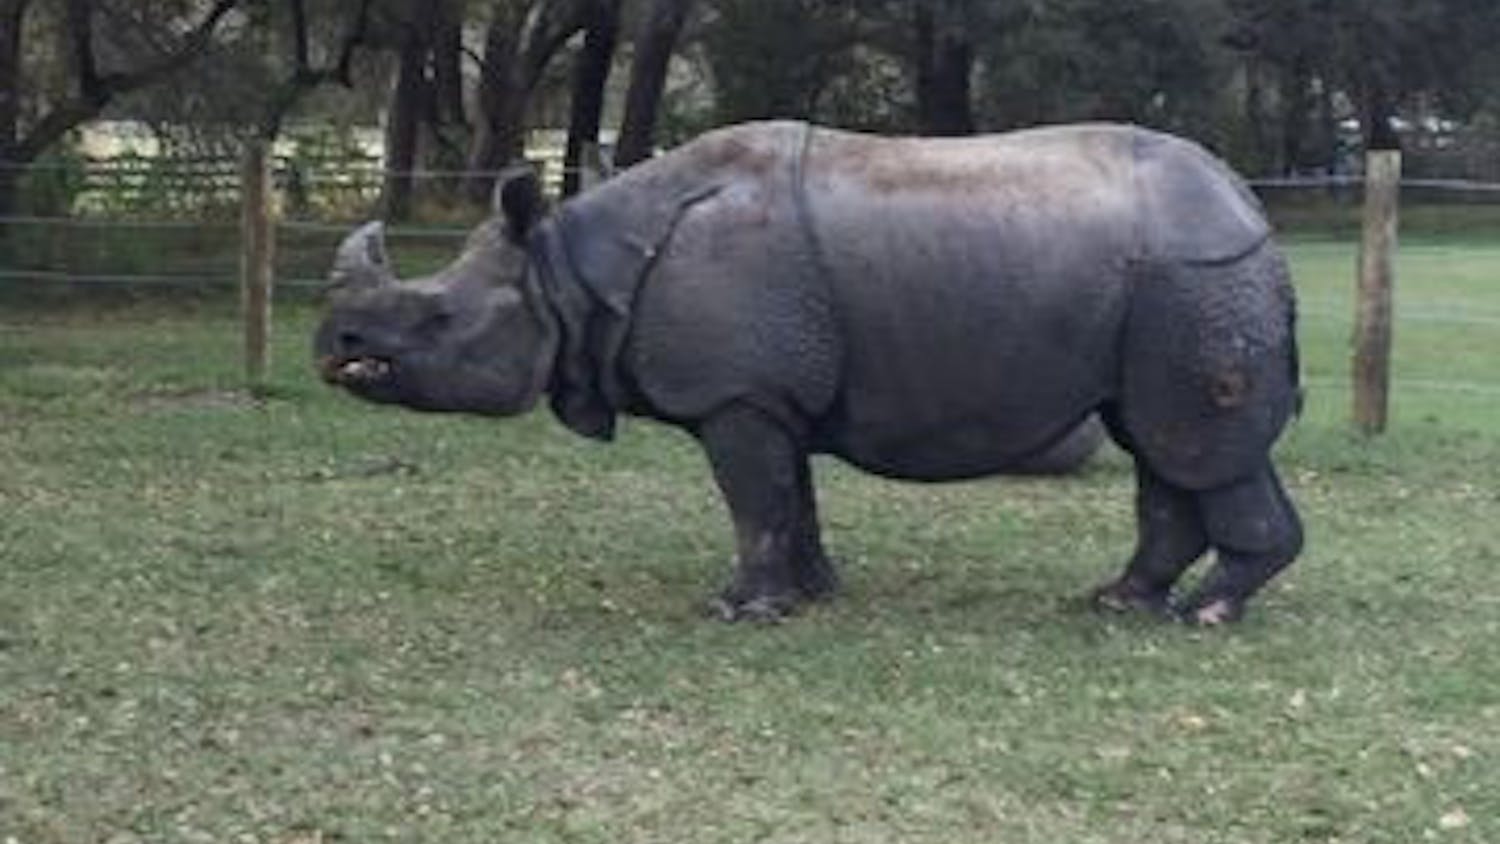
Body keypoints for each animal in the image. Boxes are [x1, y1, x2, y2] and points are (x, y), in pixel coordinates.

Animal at [315, 121, 1303, 625]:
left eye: (437, 317)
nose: (333, 345)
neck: (566, 270)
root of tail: (1249, 205)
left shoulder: (736, 394)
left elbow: (755, 499)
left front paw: (738, 611)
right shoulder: (767, 390)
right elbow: (790, 495)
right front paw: (814, 593)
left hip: (1193, 280)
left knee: (1192, 444)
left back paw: (1205, 617)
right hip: (1168, 287)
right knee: (1160, 445)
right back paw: (1119, 602)